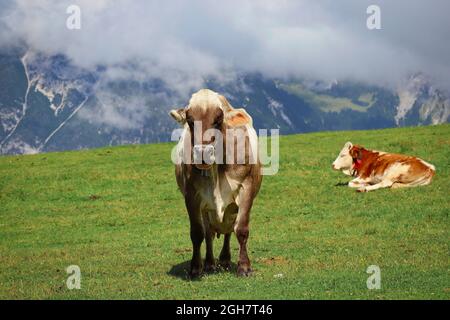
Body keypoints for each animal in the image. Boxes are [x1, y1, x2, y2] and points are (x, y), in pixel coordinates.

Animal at [169, 88, 262, 278]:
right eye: (190, 121)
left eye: (218, 120)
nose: (202, 153)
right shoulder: (191, 195)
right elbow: (197, 233)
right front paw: (196, 267)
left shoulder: (247, 188)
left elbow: (241, 229)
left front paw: (244, 267)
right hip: (207, 209)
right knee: (209, 233)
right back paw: (210, 263)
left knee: (228, 229)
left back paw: (225, 259)